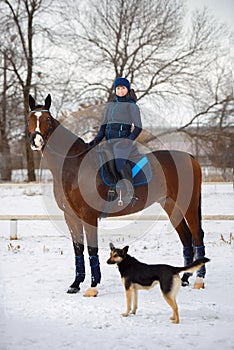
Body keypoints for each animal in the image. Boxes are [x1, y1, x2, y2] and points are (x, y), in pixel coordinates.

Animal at [27, 93, 207, 296]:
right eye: (30, 119)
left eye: (47, 119)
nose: (36, 141)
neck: (73, 167)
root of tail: (190, 157)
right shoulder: (70, 216)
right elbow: (78, 250)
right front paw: (75, 283)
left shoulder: (89, 216)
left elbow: (92, 250)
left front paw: (93, 286)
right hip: (170, 205)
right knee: (186, 238)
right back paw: (184, 278)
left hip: (188, 205)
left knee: (197, 235)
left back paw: (199, 279)